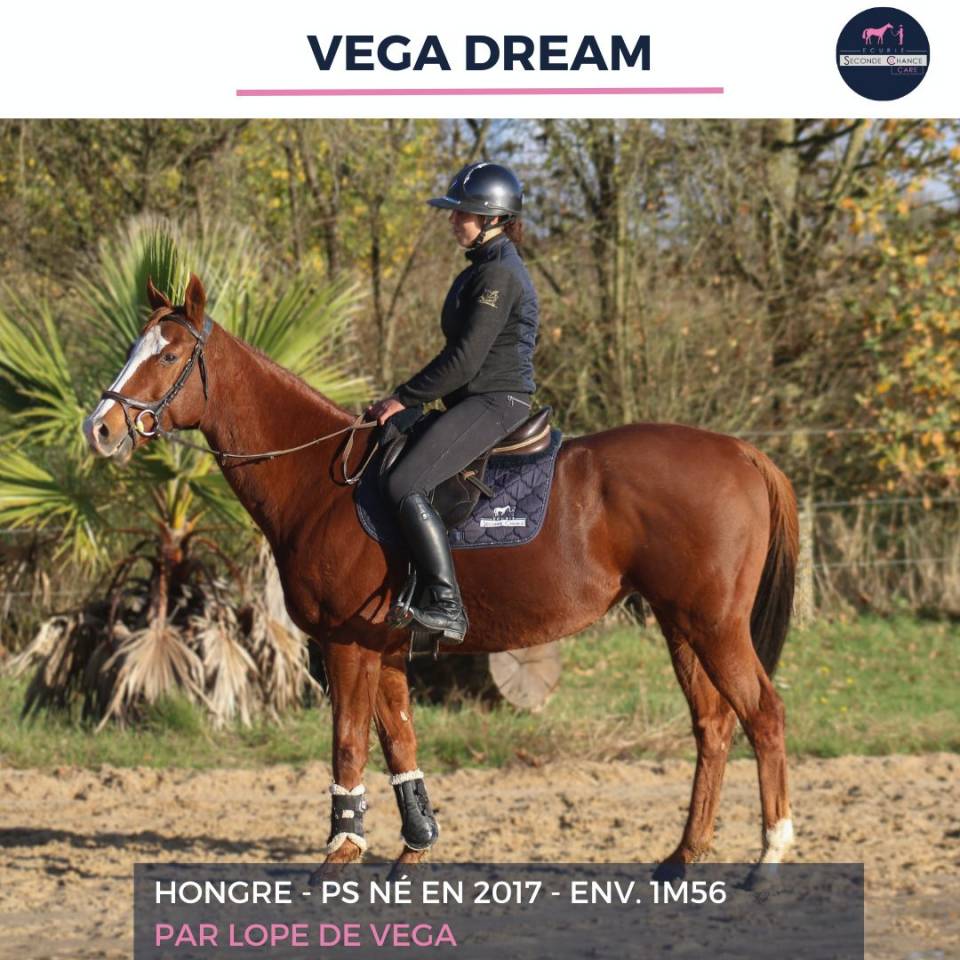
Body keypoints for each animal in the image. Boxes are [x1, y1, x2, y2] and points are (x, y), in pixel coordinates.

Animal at [83, 274, 799, 872]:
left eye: (168, 357)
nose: (101, 428)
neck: (323, 484)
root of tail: (742, 451)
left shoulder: (345, 645)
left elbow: (348, 744)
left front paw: (339, 858)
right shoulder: (383, 648)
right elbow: (400, 742)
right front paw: (413, 851)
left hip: (713, 624)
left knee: (763, 715)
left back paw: (770, 856)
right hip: (681, 625)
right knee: (713, 725)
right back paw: (683, 858)